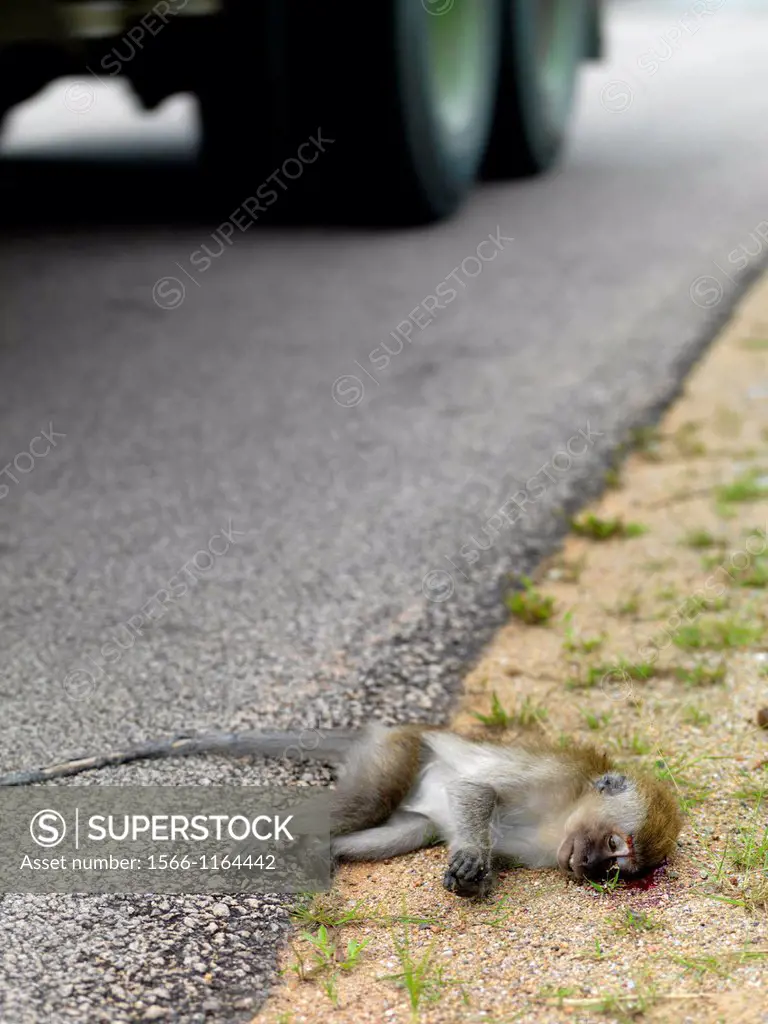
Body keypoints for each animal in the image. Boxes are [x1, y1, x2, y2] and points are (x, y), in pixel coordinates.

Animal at [0, 720, 684, 897]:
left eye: (622, 869)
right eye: (616, 846)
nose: (593, 867)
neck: (565, 812)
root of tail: (386, 729)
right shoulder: (549, 776)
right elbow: (479, 793)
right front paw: (472, 861)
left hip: (411, 807)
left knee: (402, 831)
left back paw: (316, 854)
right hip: (395, 754)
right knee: (368, 799)